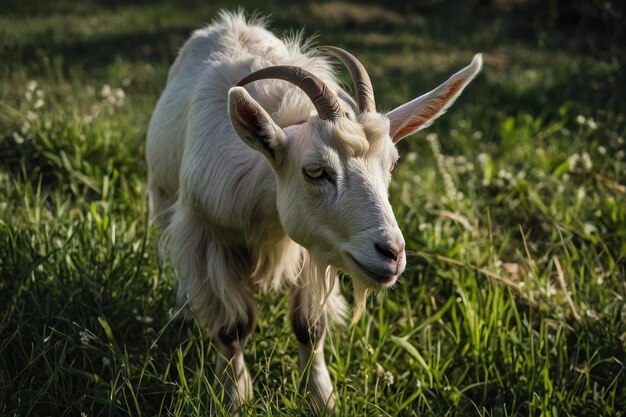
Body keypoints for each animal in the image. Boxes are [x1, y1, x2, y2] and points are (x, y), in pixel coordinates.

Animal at [147, 9, 482, 412]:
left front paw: (322, 398)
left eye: (391, 165)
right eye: (316, 171)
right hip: (165, 197)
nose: (393, 253)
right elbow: (232, 328)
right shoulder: (212, 236)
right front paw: (235, 397)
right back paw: (184, 311)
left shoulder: (315, 250)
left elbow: (309, 326)